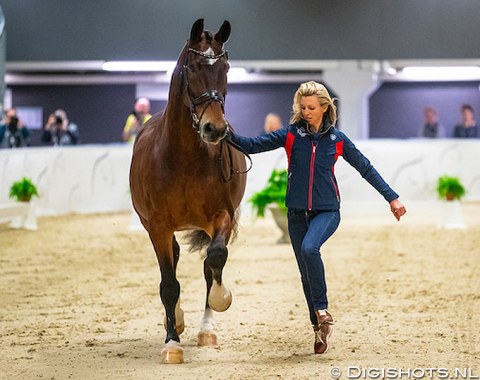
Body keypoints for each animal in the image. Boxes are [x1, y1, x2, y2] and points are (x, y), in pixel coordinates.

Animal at [129, 19, 246, 364]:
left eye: (225, 68)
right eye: (192, 68)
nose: (215, 129)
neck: (182, 156)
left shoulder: (221, 216)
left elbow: (215, 258)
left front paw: (222, 299)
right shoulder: (157, 226)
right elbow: (168, 283)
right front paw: (172, 343)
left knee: (208, 263)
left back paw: (206, 329)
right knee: (174, 260)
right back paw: (176, 321)